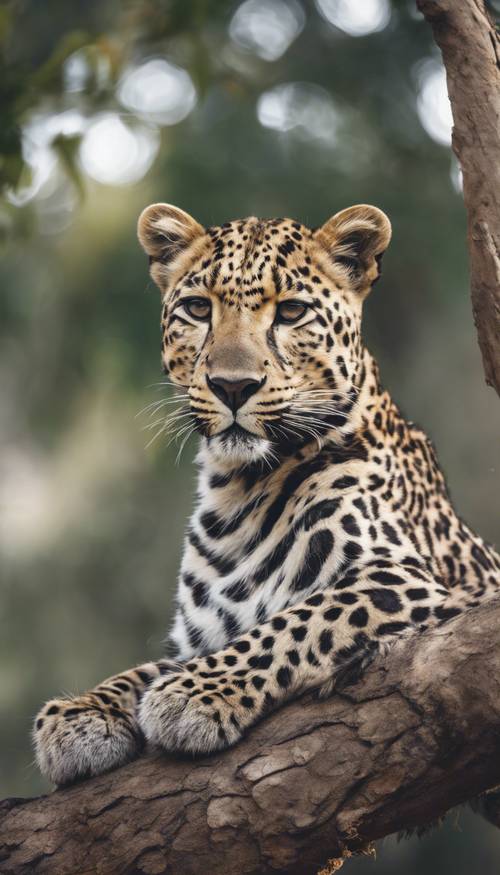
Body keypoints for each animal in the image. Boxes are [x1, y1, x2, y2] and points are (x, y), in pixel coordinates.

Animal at [33, 204, 498, 788]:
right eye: (197, 308)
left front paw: (192, 694)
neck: (237, 490)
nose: (232, 386)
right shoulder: (202, 634)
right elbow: (146, 668)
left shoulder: (406, 579)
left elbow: (298, 621)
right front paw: (82, 713)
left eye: (292, 312)